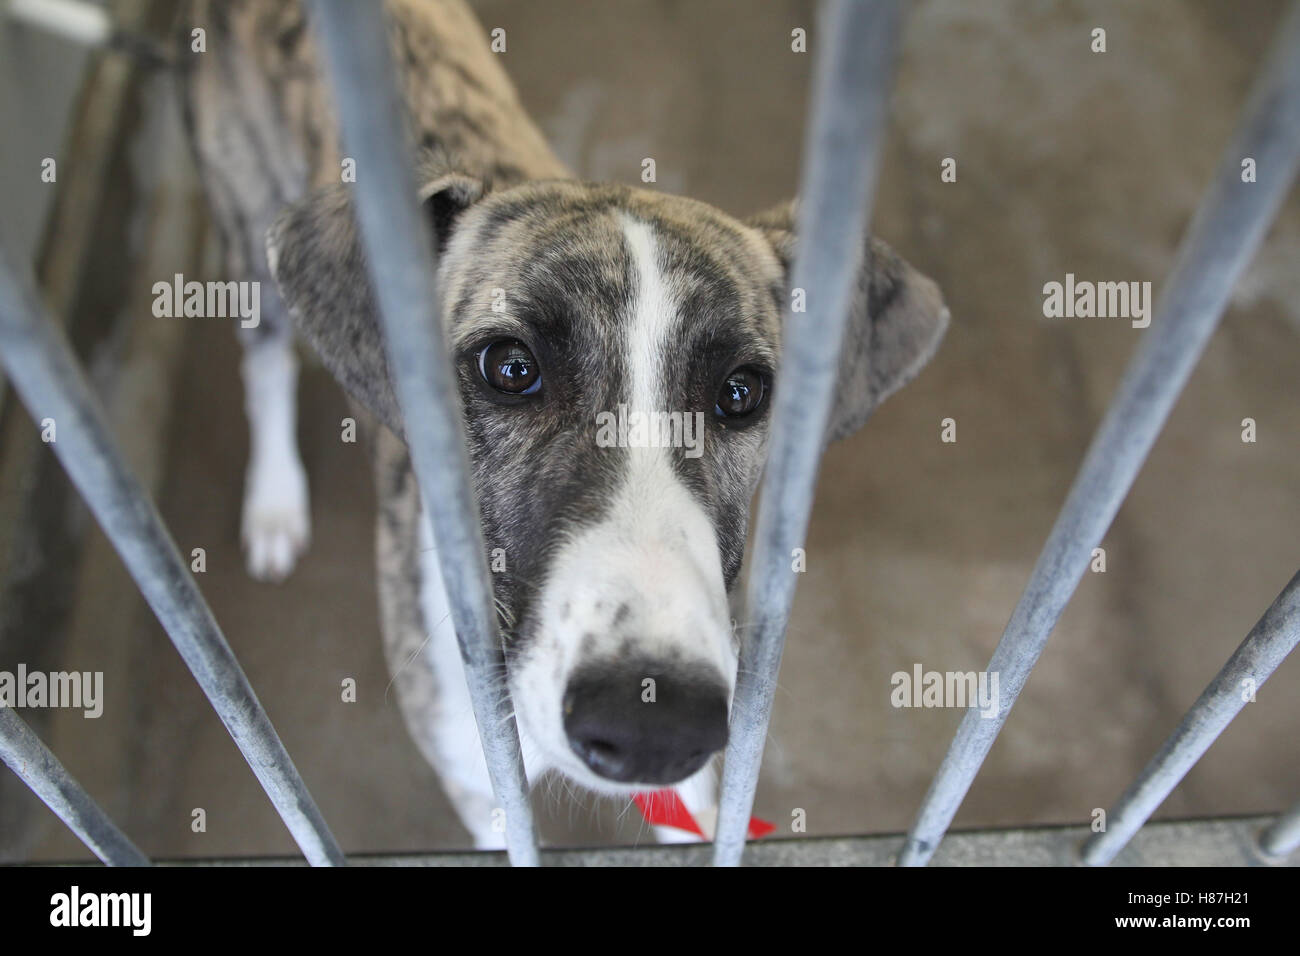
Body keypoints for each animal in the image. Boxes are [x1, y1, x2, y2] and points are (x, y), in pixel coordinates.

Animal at [178, 0, 951, 848]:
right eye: (510, 367)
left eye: (743, 392)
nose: (654, 726)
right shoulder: (480, 788)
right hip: (248, 237)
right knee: (265, 366)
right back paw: (275, 503)